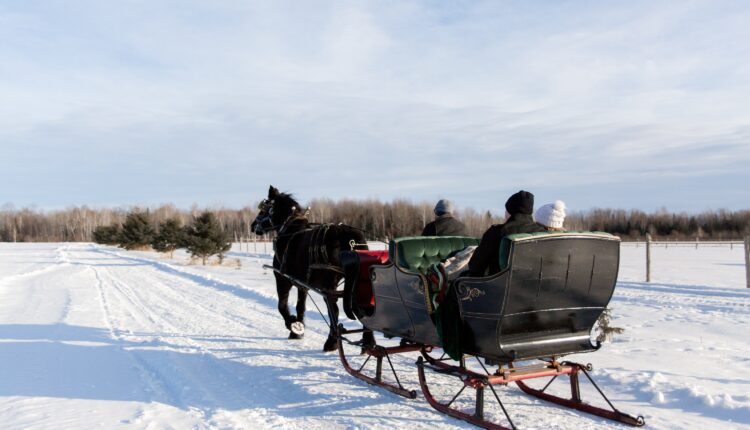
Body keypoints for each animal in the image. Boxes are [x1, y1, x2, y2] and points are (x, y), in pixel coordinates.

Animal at [251, 185, 374, 351]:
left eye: (264, 208)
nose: (252, 225)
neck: (289, 230)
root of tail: (349, 238)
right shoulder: (302, 284)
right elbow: (300, 306)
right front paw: (297, 331)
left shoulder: (282, 278)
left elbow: (282, 306)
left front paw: (293, 325)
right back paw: (368, 342)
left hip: (329, 283)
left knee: (334, 310)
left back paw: (332, 342)